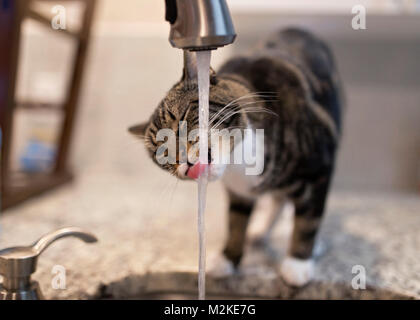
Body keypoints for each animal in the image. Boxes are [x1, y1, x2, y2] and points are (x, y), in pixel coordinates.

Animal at [130, 28, 342, 286]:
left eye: (181, 120)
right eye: (161, 154)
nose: (183, 163)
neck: (237, 162)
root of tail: (296, 29)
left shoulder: (320, 168)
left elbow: (308, 221)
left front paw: (298, 263)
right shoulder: (238, 192)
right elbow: (236, 222)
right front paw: (228, 258)